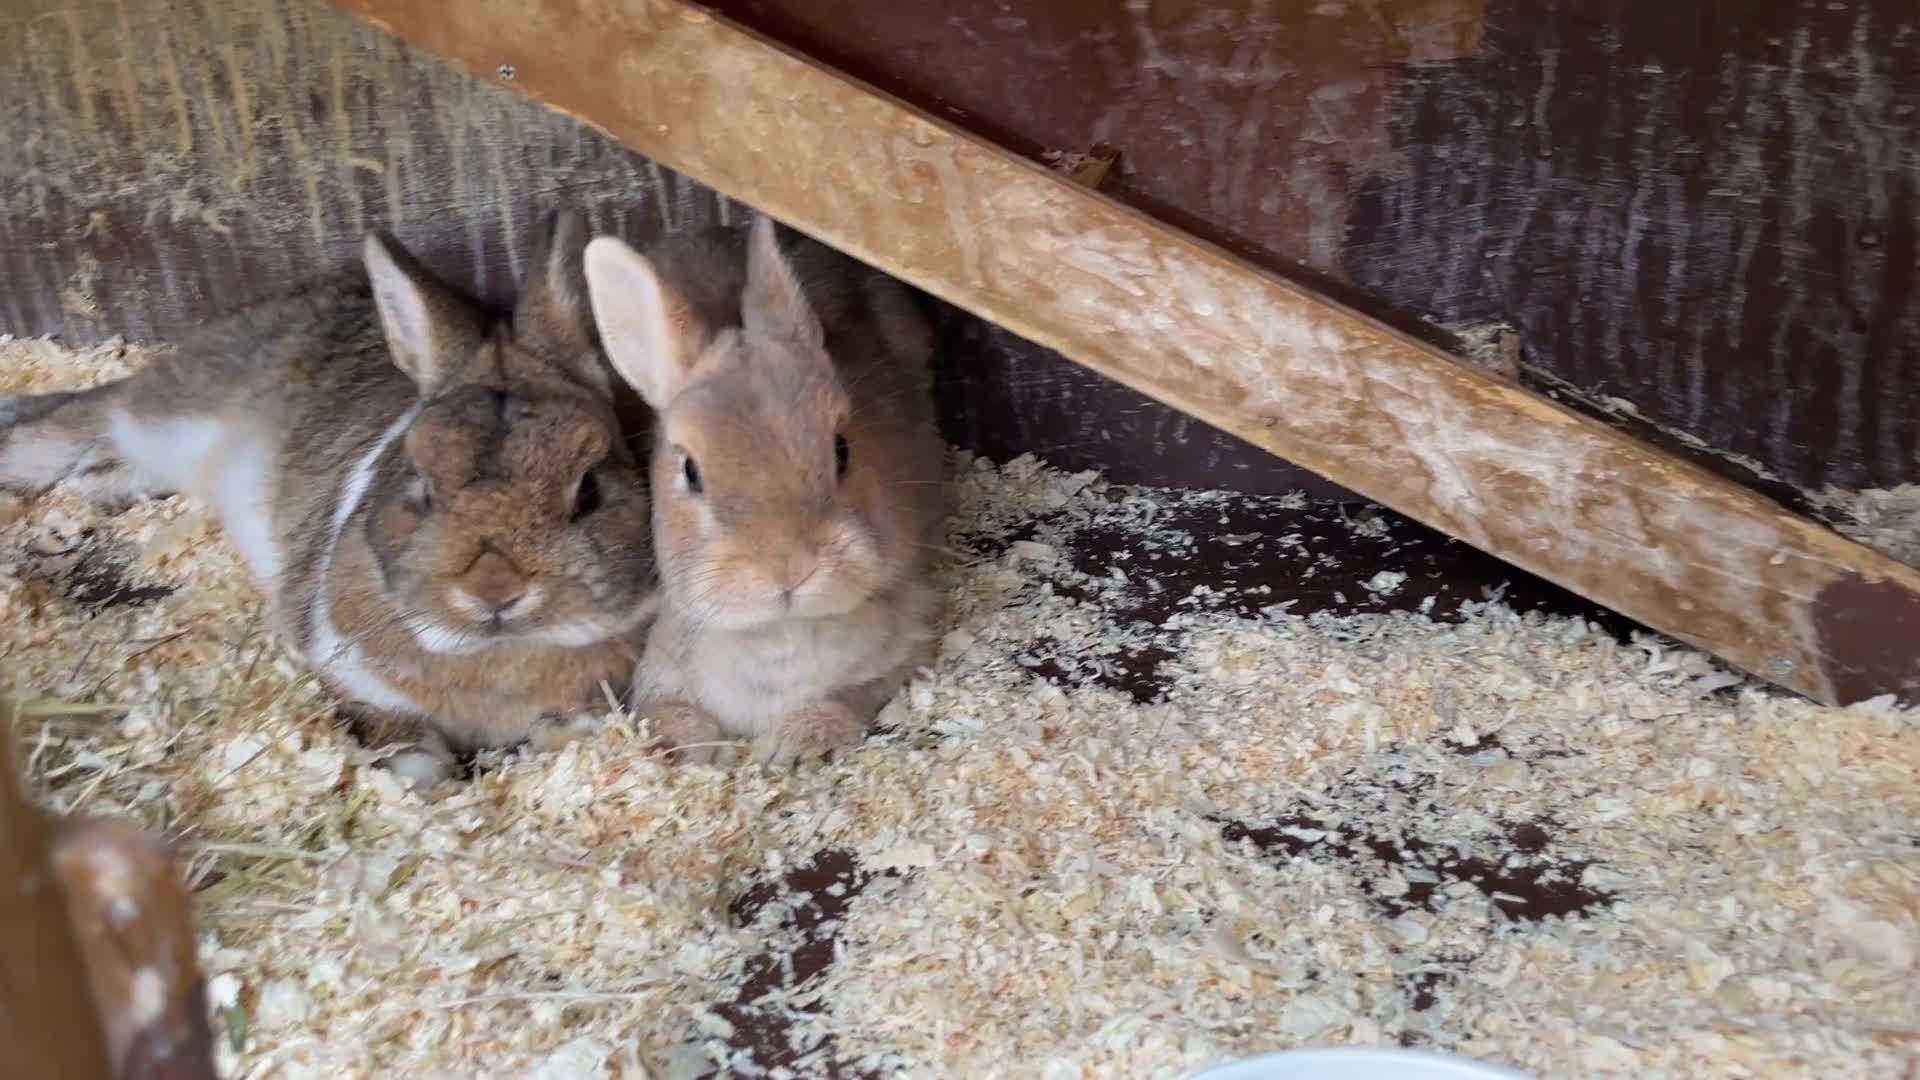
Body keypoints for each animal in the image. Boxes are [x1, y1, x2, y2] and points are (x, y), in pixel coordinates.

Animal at [0, 210, 658, 786]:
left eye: (590, 488)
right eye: (420, 484)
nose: (494, 591)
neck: (498, 659)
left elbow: (567, 730)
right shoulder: (350, 680)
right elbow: (407, 748)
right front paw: (424, 779)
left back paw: (98, 484)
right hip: (173, 414)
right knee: (83, 415)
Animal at [581, 215, 946, 765]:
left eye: (842, 449)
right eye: (690, 470)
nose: (788, 567)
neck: (778, 631)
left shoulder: (900, 652)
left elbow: (850, 698)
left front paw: (798, 740)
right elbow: (670, 715)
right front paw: (698, 747)